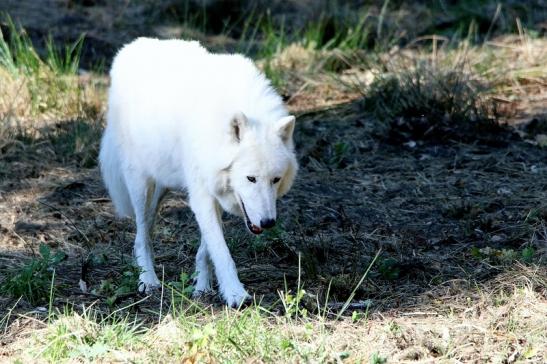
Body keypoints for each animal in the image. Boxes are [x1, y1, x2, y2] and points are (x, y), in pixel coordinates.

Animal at [100, 38, 302, 308]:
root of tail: (130, 47)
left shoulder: (214, 191)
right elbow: (222, 252)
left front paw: (202, 287)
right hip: (139, 185)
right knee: (141, 234)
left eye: (275, 180)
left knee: (145, 231)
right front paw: (236, 295)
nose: (268, 223)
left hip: (162, 185)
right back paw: (148, 281)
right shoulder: (202, 195)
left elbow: (207, 250)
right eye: (251, 178)